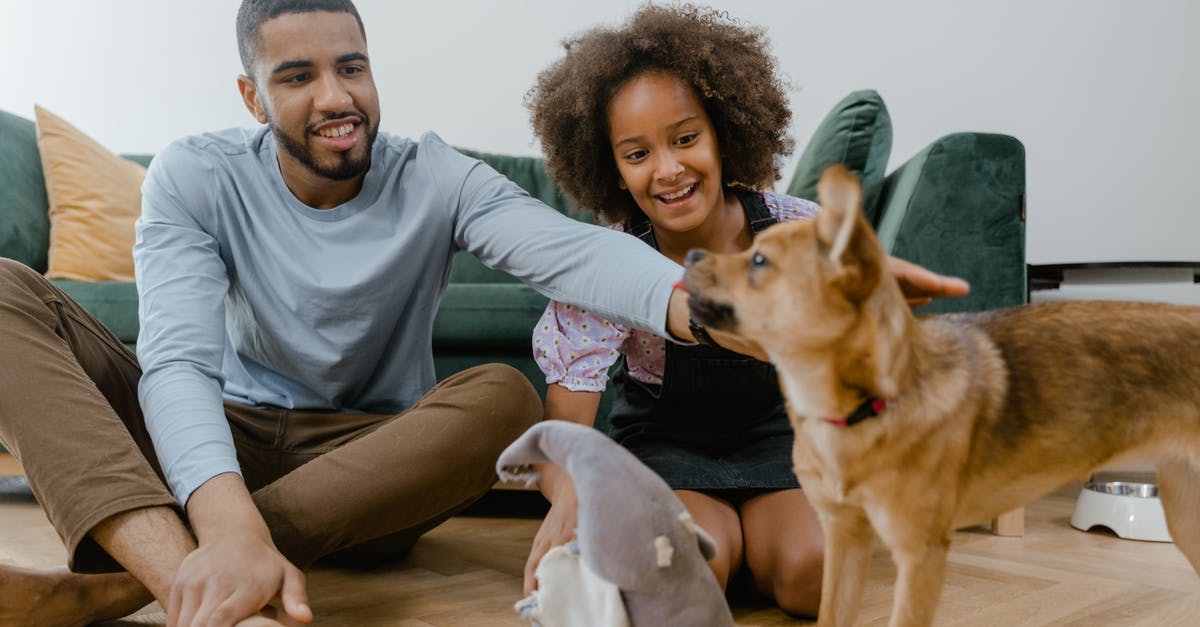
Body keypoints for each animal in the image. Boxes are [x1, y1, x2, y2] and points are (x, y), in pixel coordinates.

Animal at [686, 163, 1200, 619]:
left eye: (759, 260)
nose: (689, 256)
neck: (864, 407)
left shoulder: (920, 555)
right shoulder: (844, 540)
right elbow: (833, 615)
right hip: (1184, 514)